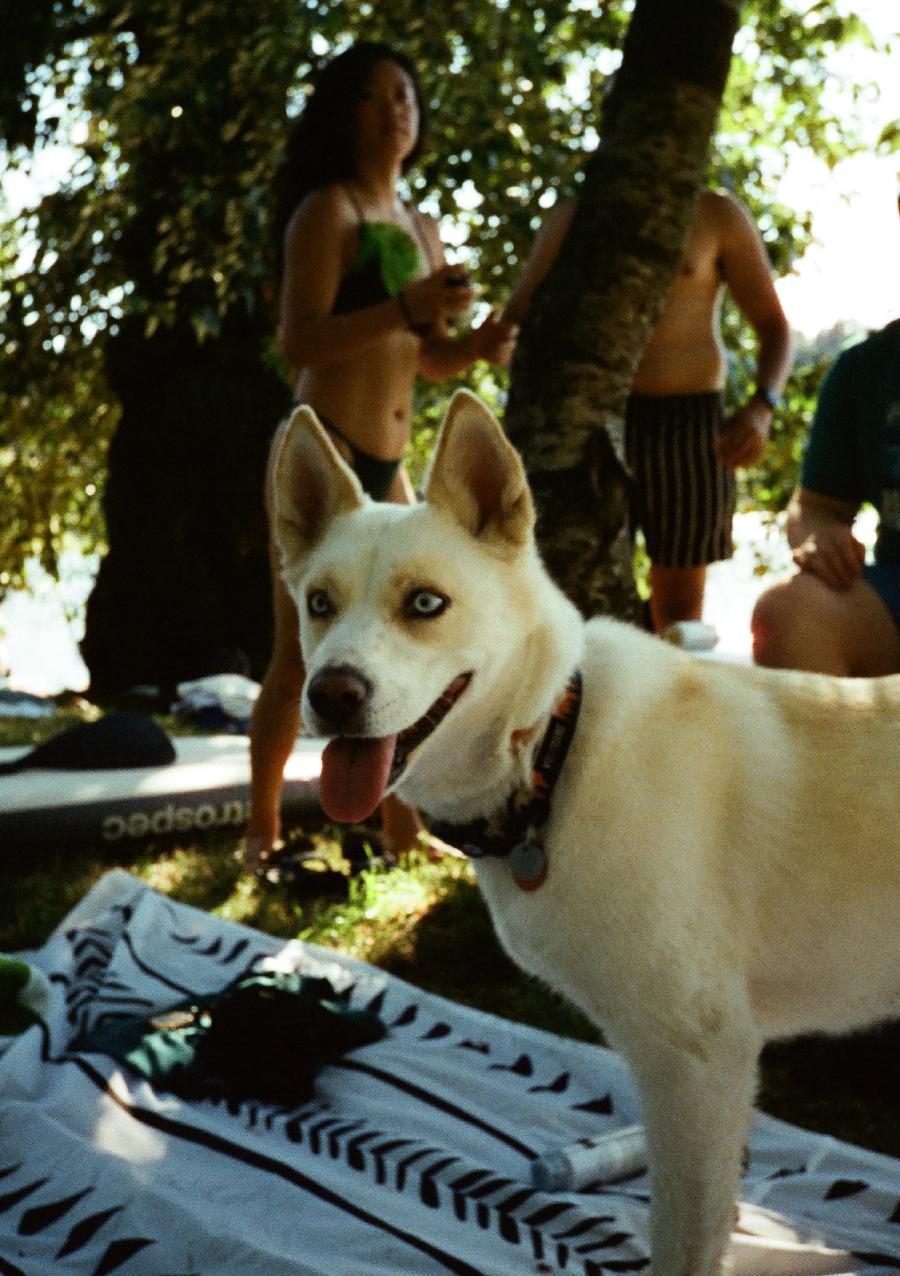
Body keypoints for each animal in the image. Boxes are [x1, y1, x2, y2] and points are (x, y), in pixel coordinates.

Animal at [271, 390, 898, 1276]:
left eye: (426, 604)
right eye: (319, 604)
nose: (331, 695)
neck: (551, 754)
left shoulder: (699, 1064)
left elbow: (684, 1241)